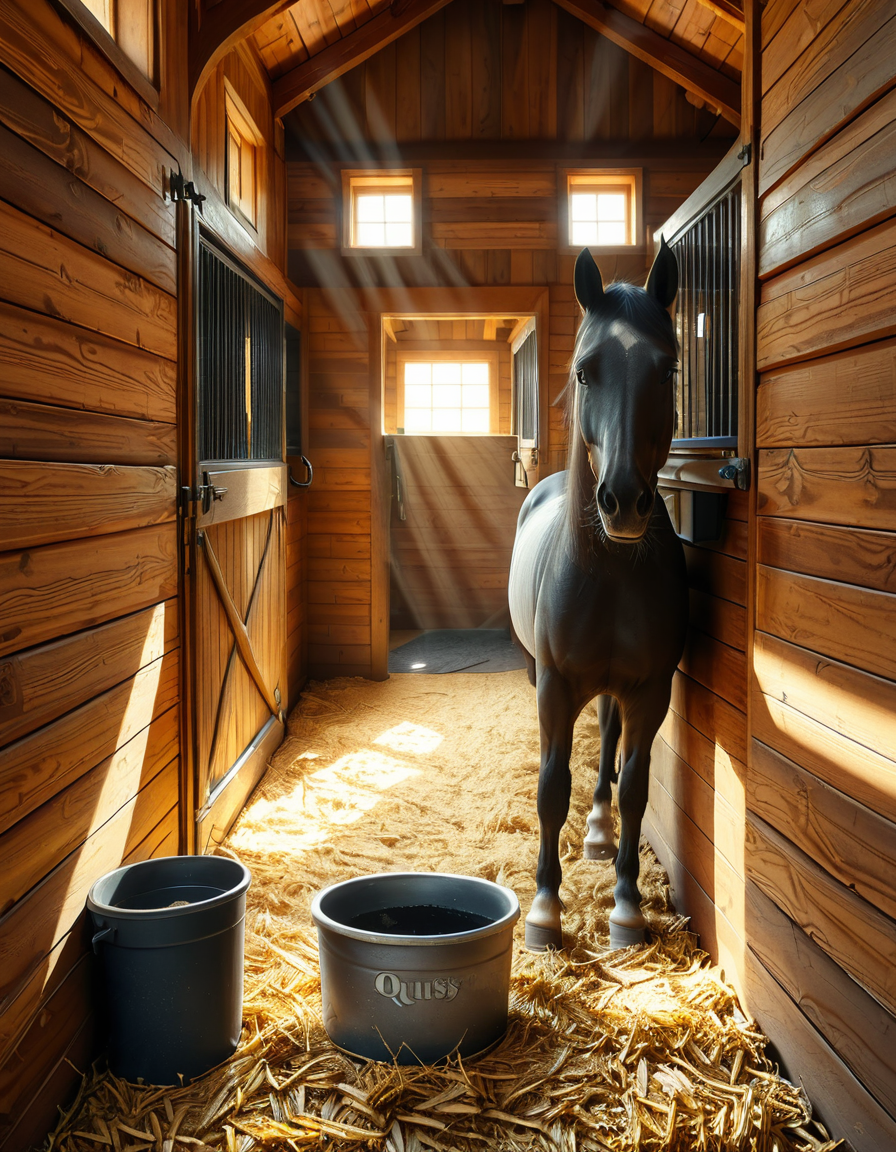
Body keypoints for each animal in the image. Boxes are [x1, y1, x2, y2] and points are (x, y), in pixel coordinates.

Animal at [508, 239, 688, 951]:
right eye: (586, 372)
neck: (608, 577)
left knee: (609, 744)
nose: (623, 501)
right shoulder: (556, 684)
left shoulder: (650, 690)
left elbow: (635, 785)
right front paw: (544, 911)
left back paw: (598, 832)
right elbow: (551, 785)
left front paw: (627, 906)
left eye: (667, 371)